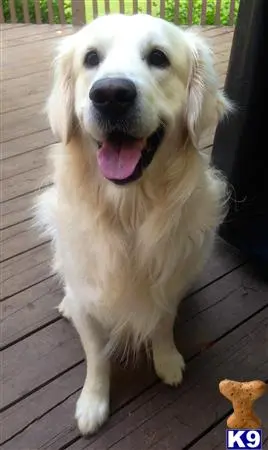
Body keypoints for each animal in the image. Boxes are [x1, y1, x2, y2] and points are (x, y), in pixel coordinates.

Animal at [36, 14, 231, 436]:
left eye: (158, 57)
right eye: (91, 58)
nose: (111, 94)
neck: (128, 211)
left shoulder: (168, 282)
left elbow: (163, 323)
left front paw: (167, 359)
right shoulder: (90, 300)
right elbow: (97, 356)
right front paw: (93, 401)